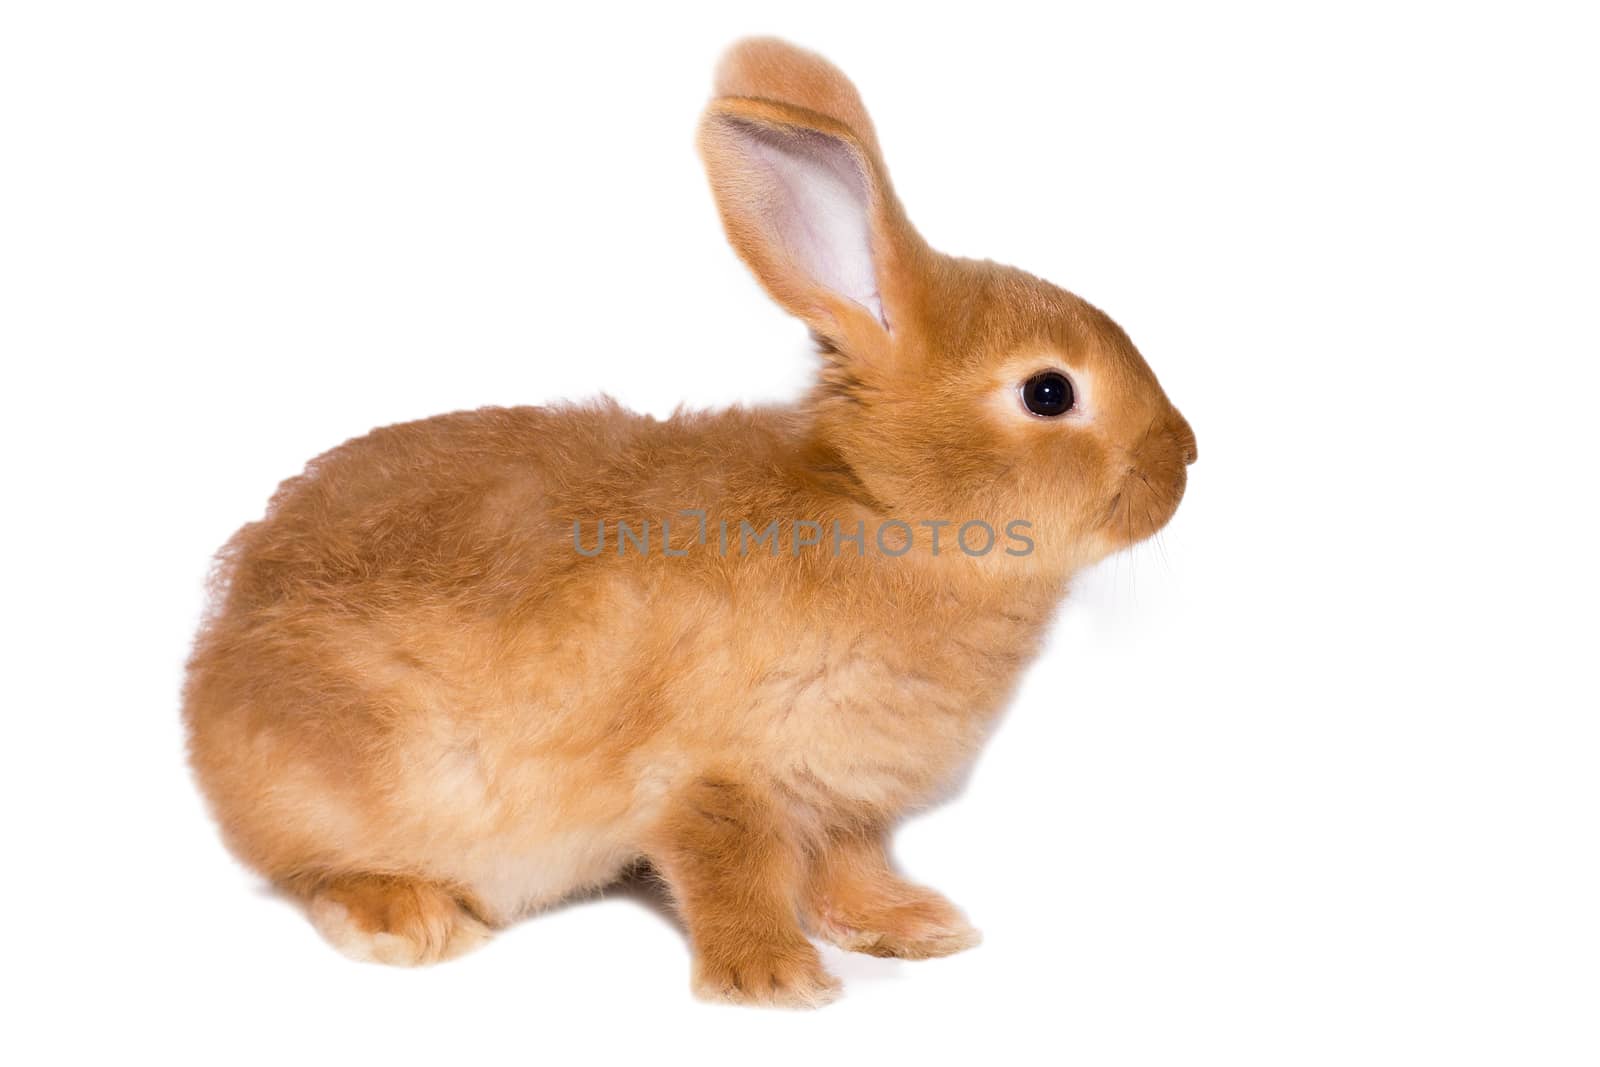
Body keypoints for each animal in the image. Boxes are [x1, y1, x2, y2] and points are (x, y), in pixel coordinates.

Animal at [181, 35, 1196, 1011]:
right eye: (1049, 392)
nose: (1183, 457)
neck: (884, 506)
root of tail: (214, 672)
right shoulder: (715, 775)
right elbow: (731, 874)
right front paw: (776, 982)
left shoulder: (842, 797)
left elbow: (850, 866)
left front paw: (913, 926)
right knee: (315, 868)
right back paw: (409, 919)